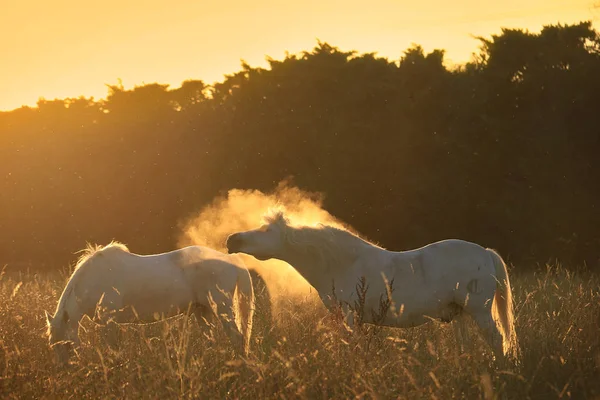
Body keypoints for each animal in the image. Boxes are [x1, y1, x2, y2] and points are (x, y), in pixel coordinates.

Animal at [45, 242, 255, 364]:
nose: (68, 370)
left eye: (67, 345)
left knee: (238, 338)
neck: (95, 279)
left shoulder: (109, 321)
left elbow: (113, 349)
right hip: (202, 311)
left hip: (222, 309)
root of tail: (231, 259)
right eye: (52, 346)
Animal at [227, 211, 516, 360]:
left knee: (498, 340)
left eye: (266, 231)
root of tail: (485, 253)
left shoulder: (350, 317)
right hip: (460, 315)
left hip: (479, 312)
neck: (342, 264)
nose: (232, 240)